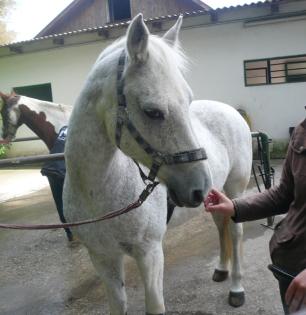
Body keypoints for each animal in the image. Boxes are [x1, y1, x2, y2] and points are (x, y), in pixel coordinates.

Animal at [63, 13, 252, 314]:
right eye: (152, 111)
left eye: (188, 101)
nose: (198, 186)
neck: (98, 194)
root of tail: (233, 112)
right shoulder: (103, 258)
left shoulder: (150, 254)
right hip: (215, 196)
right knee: (220, 224)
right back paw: (221, 270)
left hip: (234, 189)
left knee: (234, 230)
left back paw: (236, 288)